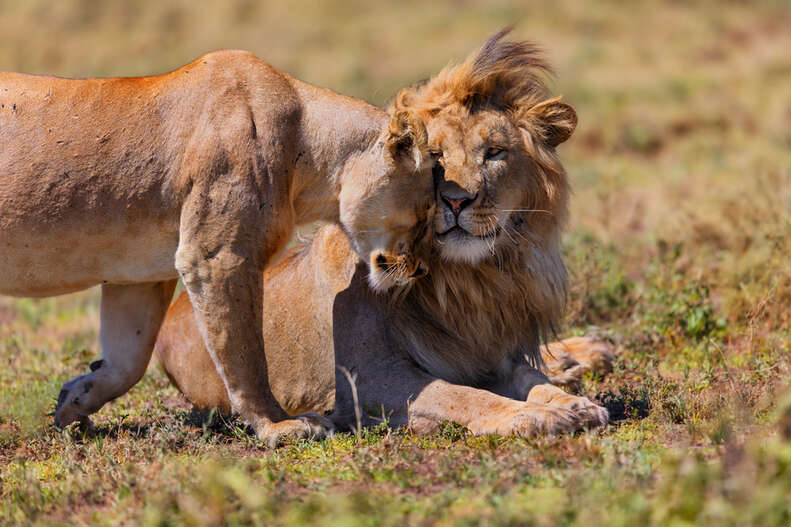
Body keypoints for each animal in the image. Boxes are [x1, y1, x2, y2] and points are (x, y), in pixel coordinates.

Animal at [0, 50, 434, 446]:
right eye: (428, 212)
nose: (421, 270)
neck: (312, 156)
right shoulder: (217, 258)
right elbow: (245, 354)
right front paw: (279, 425)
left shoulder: (138, 276)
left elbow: (128, 361)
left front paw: (73, 402)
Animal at [153, 31, 612, 440]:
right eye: (436, 156)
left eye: (495, 153)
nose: (456, 201)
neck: (468, 281)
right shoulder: (366, 379)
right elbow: (461, 395)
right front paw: (531, 416)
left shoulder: (493, 353)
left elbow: (532, 378)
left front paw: (573, 404)